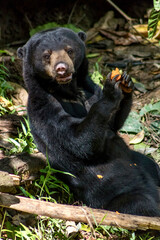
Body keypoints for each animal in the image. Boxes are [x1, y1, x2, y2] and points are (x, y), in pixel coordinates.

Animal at [17, 27, 160, 217]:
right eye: (46, 55)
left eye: (69, 50)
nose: (62, 68)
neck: (69, 91)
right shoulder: (44, 107)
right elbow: (79, 140)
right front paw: (111, 90)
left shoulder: (89, 90)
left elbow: (112, 124)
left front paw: (126, 81)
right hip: (114, 193)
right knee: (140, 204)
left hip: (143, 164)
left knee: (153, 166)